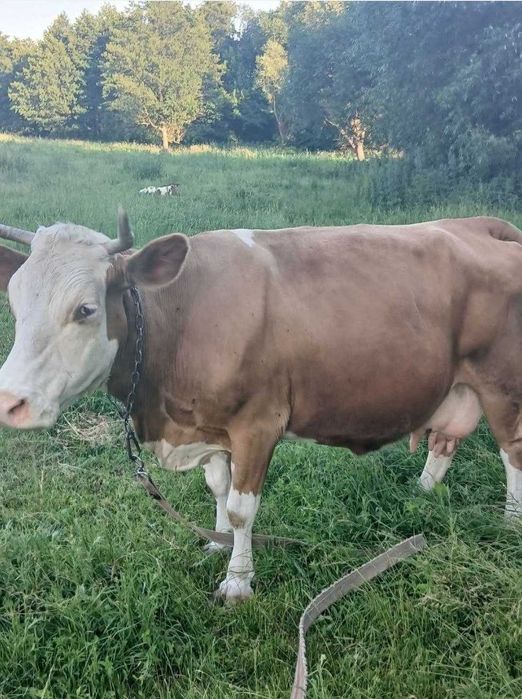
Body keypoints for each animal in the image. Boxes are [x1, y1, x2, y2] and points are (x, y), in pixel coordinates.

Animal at [0, 213, 521, 603]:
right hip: (458, 386)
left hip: (502, 383)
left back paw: (511, 522)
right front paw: (217, 545)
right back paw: (422, 494)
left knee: (511, 452)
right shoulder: (208, 427)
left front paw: (237, 581)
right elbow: (216, 488)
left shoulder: (257, 425)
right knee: (446, 441)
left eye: (85, 309)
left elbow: (239, 509)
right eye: (15, 302)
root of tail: (482, 225)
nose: (10, 401)